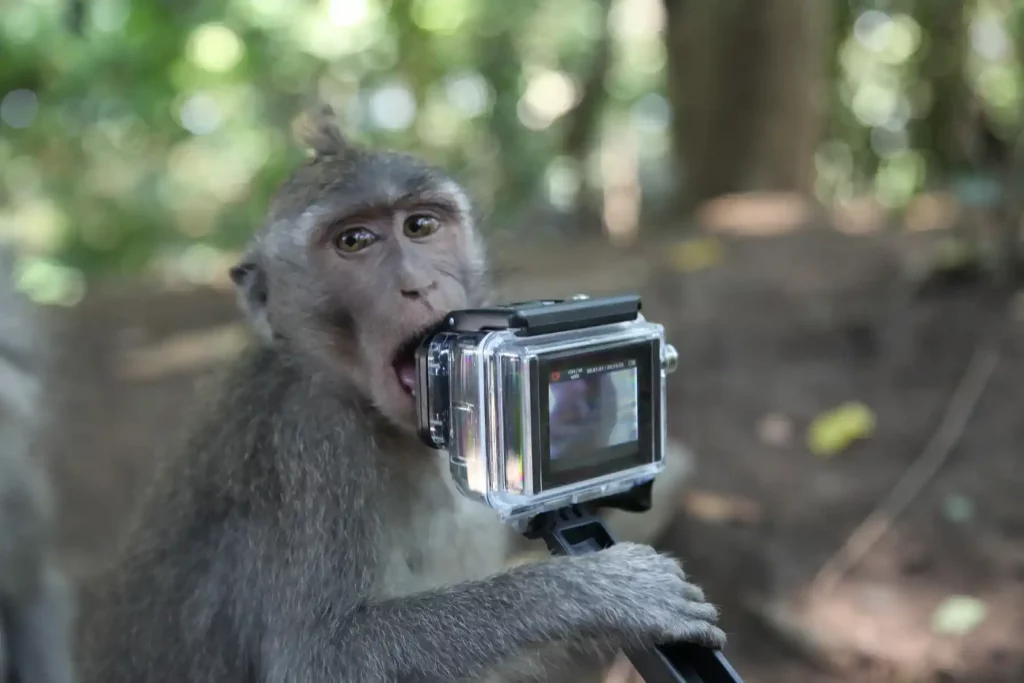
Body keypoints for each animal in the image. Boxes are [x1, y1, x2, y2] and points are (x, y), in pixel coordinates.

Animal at [78, 108, 726, 683]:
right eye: (355, 241)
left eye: (421, 226)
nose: (418, 284)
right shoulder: (313, 443)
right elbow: (320, 660)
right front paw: (599, 592)